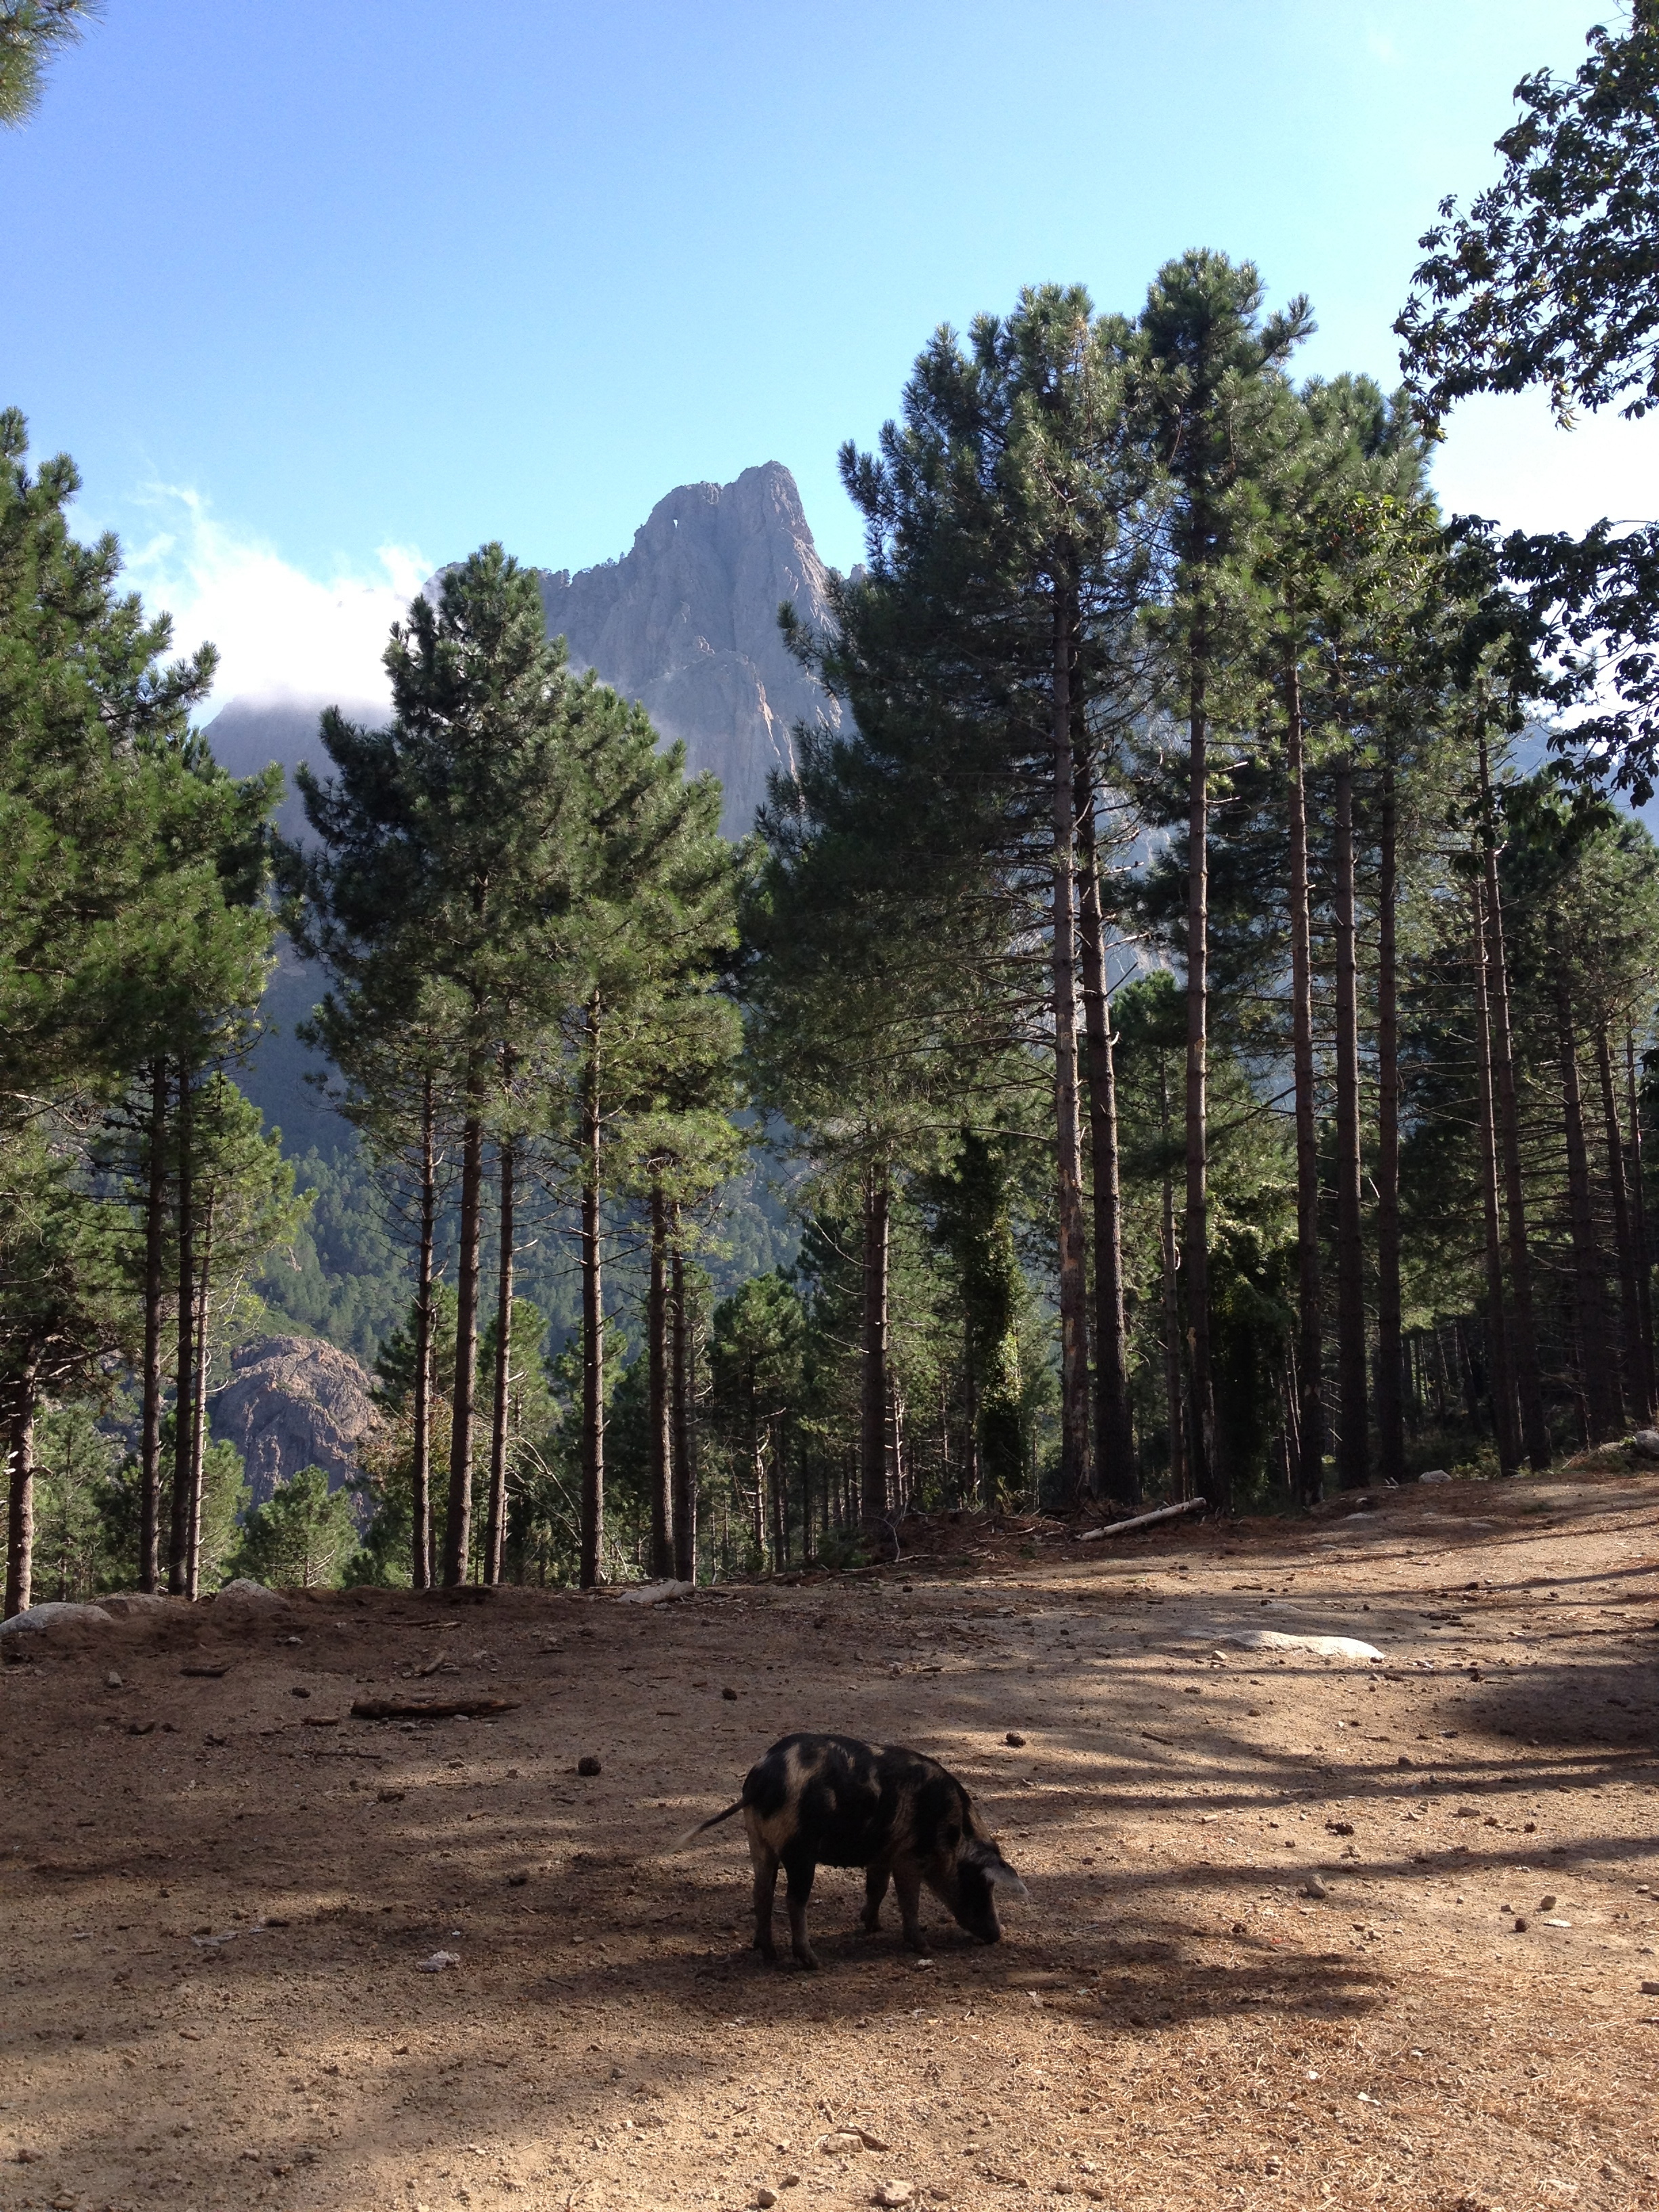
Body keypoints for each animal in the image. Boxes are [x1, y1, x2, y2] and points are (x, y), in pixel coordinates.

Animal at [676, 1725, 1021, 1973]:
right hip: (800, 1850)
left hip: (758, 1842)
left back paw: (770, 1954)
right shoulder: (909, 1857)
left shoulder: (881, 1855)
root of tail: (762, 1780)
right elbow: (909, 1901)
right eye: (983, 1884)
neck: (953, 1831)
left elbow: (877, 1888)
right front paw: (925, 1948)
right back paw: (812, 1963)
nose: (998, 1933)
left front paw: (872, 1926)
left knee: (761, 1891)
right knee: (794, 1900)